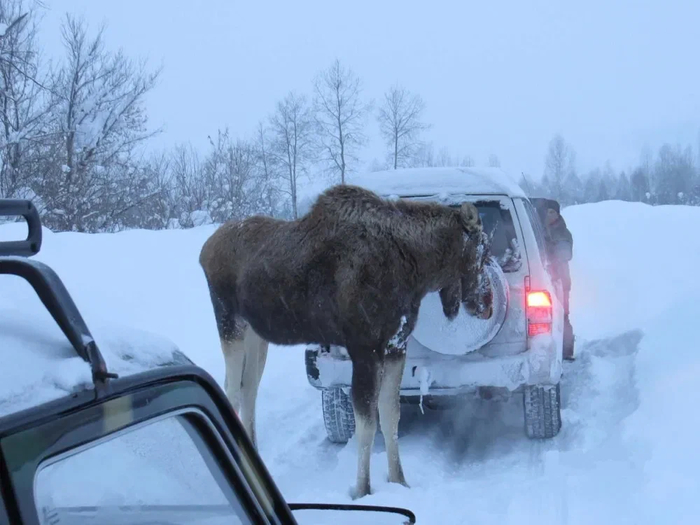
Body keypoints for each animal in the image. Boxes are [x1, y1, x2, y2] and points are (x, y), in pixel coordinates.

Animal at [200, 185, 494, 500]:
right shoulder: (365, 348)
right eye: (483, 250)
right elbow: (367, 425)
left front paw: (399, 480)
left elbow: (390, 416)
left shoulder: (395, 347)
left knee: (249, 389)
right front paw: (362, 489)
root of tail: (204, 250)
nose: (488, 304)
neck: (416, 270)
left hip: (257, 334)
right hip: (229, 323)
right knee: (231, 388)